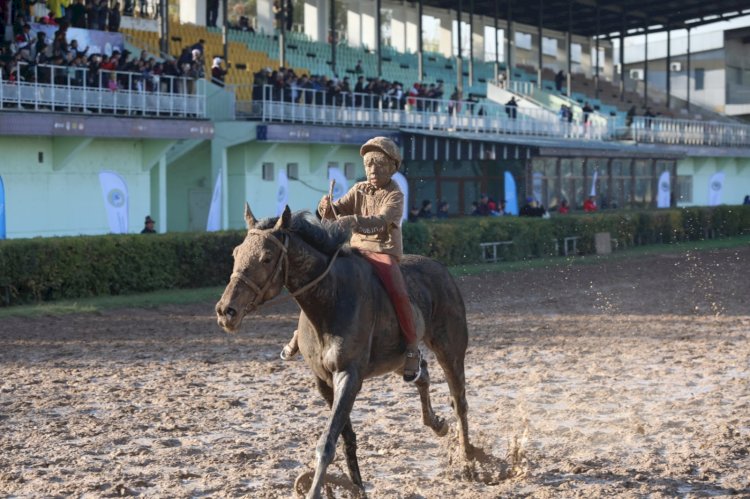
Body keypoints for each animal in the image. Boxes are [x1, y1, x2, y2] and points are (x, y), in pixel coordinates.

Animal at [214, 204, 470, 499]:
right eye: (236, 253)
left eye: (266, 258)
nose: (226, 311)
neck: (331, 299)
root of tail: (441, 269)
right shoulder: (323, 381)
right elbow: (346, 437)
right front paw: (355, 487)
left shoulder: (349, 377)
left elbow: (327, 442)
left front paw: (316, 490)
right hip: (398, 360)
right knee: (422, 374)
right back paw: (437, 423)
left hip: (450, 351)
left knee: (459, 402)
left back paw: (470, 461)